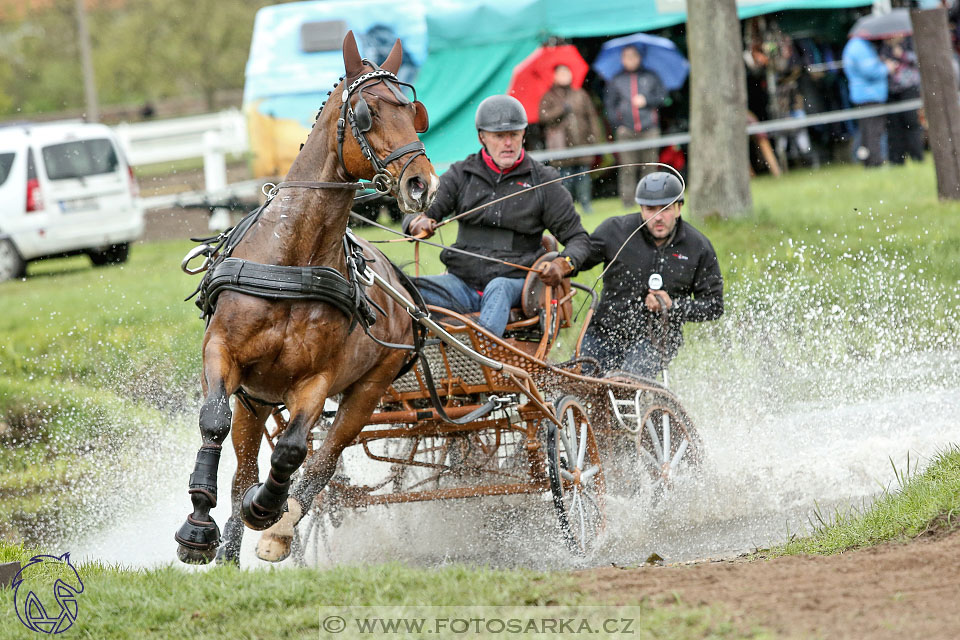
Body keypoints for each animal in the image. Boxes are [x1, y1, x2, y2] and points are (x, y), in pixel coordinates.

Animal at [174, 32, 436, 564]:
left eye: (412, 110)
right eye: (366, 113)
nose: (421, 183)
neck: (292, 259)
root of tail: (402, 288)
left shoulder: (318, 380)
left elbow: (294, 450)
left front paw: (267, 512)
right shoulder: (223, 354)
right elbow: (213, 421)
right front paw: (198, 524)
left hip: (368, 389)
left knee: (323, 460)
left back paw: (279, 525)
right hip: (256, 401)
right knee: (243, 470)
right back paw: (228, 541)